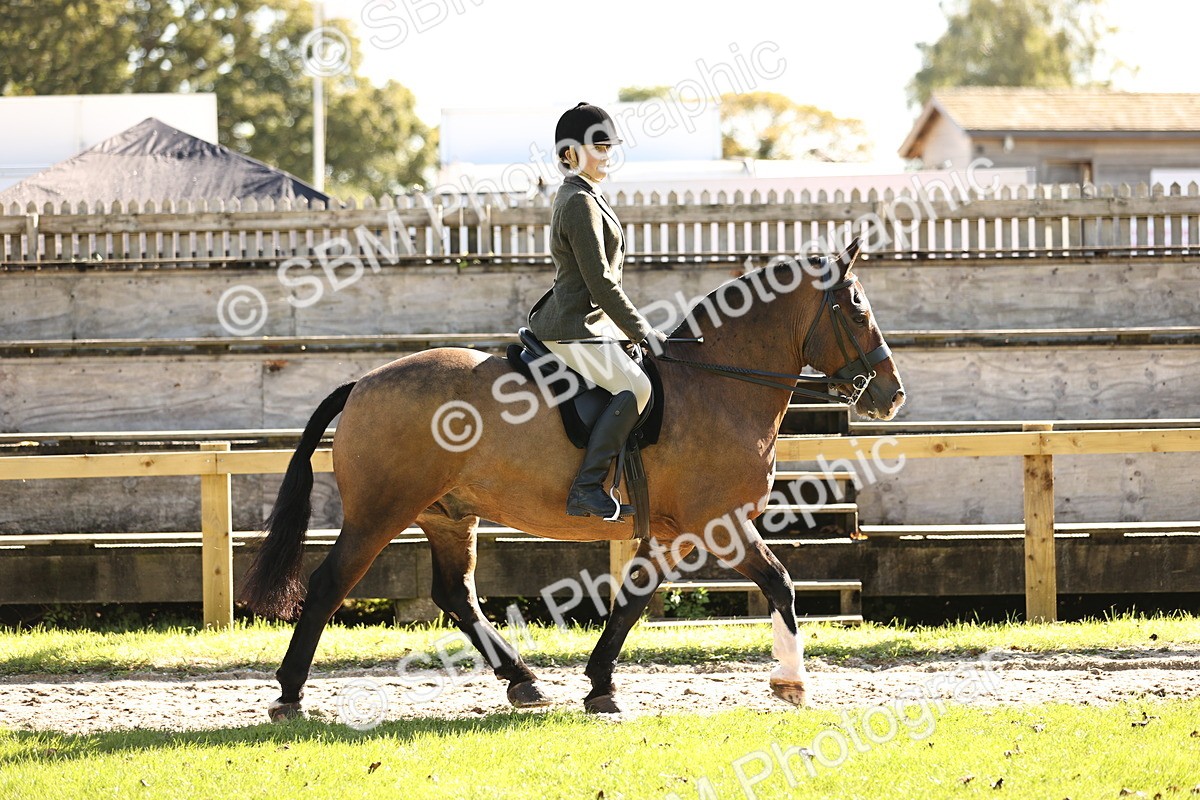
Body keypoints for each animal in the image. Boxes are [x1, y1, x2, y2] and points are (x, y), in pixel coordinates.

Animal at [238, 239, 905, 720]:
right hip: (380, 514)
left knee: (457, 595)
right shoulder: (720, 525)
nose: (891, 394)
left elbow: (632, 601)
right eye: (856, 307)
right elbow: (781, 585)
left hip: (449, 516)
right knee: (328, 586)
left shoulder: (671, 534)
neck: (717, 383)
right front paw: (791, 683)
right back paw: (289, 696)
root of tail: (362, 383)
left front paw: (600, 686)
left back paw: (523, 682)